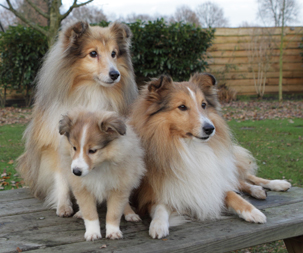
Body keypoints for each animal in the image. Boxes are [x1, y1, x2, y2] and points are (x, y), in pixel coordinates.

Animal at [15, 20, 137, 216]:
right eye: (93, 53)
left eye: (114, 53)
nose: (115, 74)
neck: (92, 90)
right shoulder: (56, 144)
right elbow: (62, 178)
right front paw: (64, 206)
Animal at [58, 109, 147, 240]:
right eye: (74, 147)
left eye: (92, 151)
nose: (76, 172)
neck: (98, 168)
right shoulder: (83, 189)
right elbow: (89, 213)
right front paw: (92, 233)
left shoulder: (118, 188)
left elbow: (114, 213)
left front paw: (113, 232)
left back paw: (130, 214)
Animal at [131, 73, 292, 239]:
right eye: (182, 107)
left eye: (203, 105)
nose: (210, 128)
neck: (190, 147)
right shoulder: (151, 195)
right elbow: (160, 208)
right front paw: (158, 225)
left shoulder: (213, 182)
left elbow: (233, 195)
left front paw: (253, 211)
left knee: (243, 178)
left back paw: (275, 185)